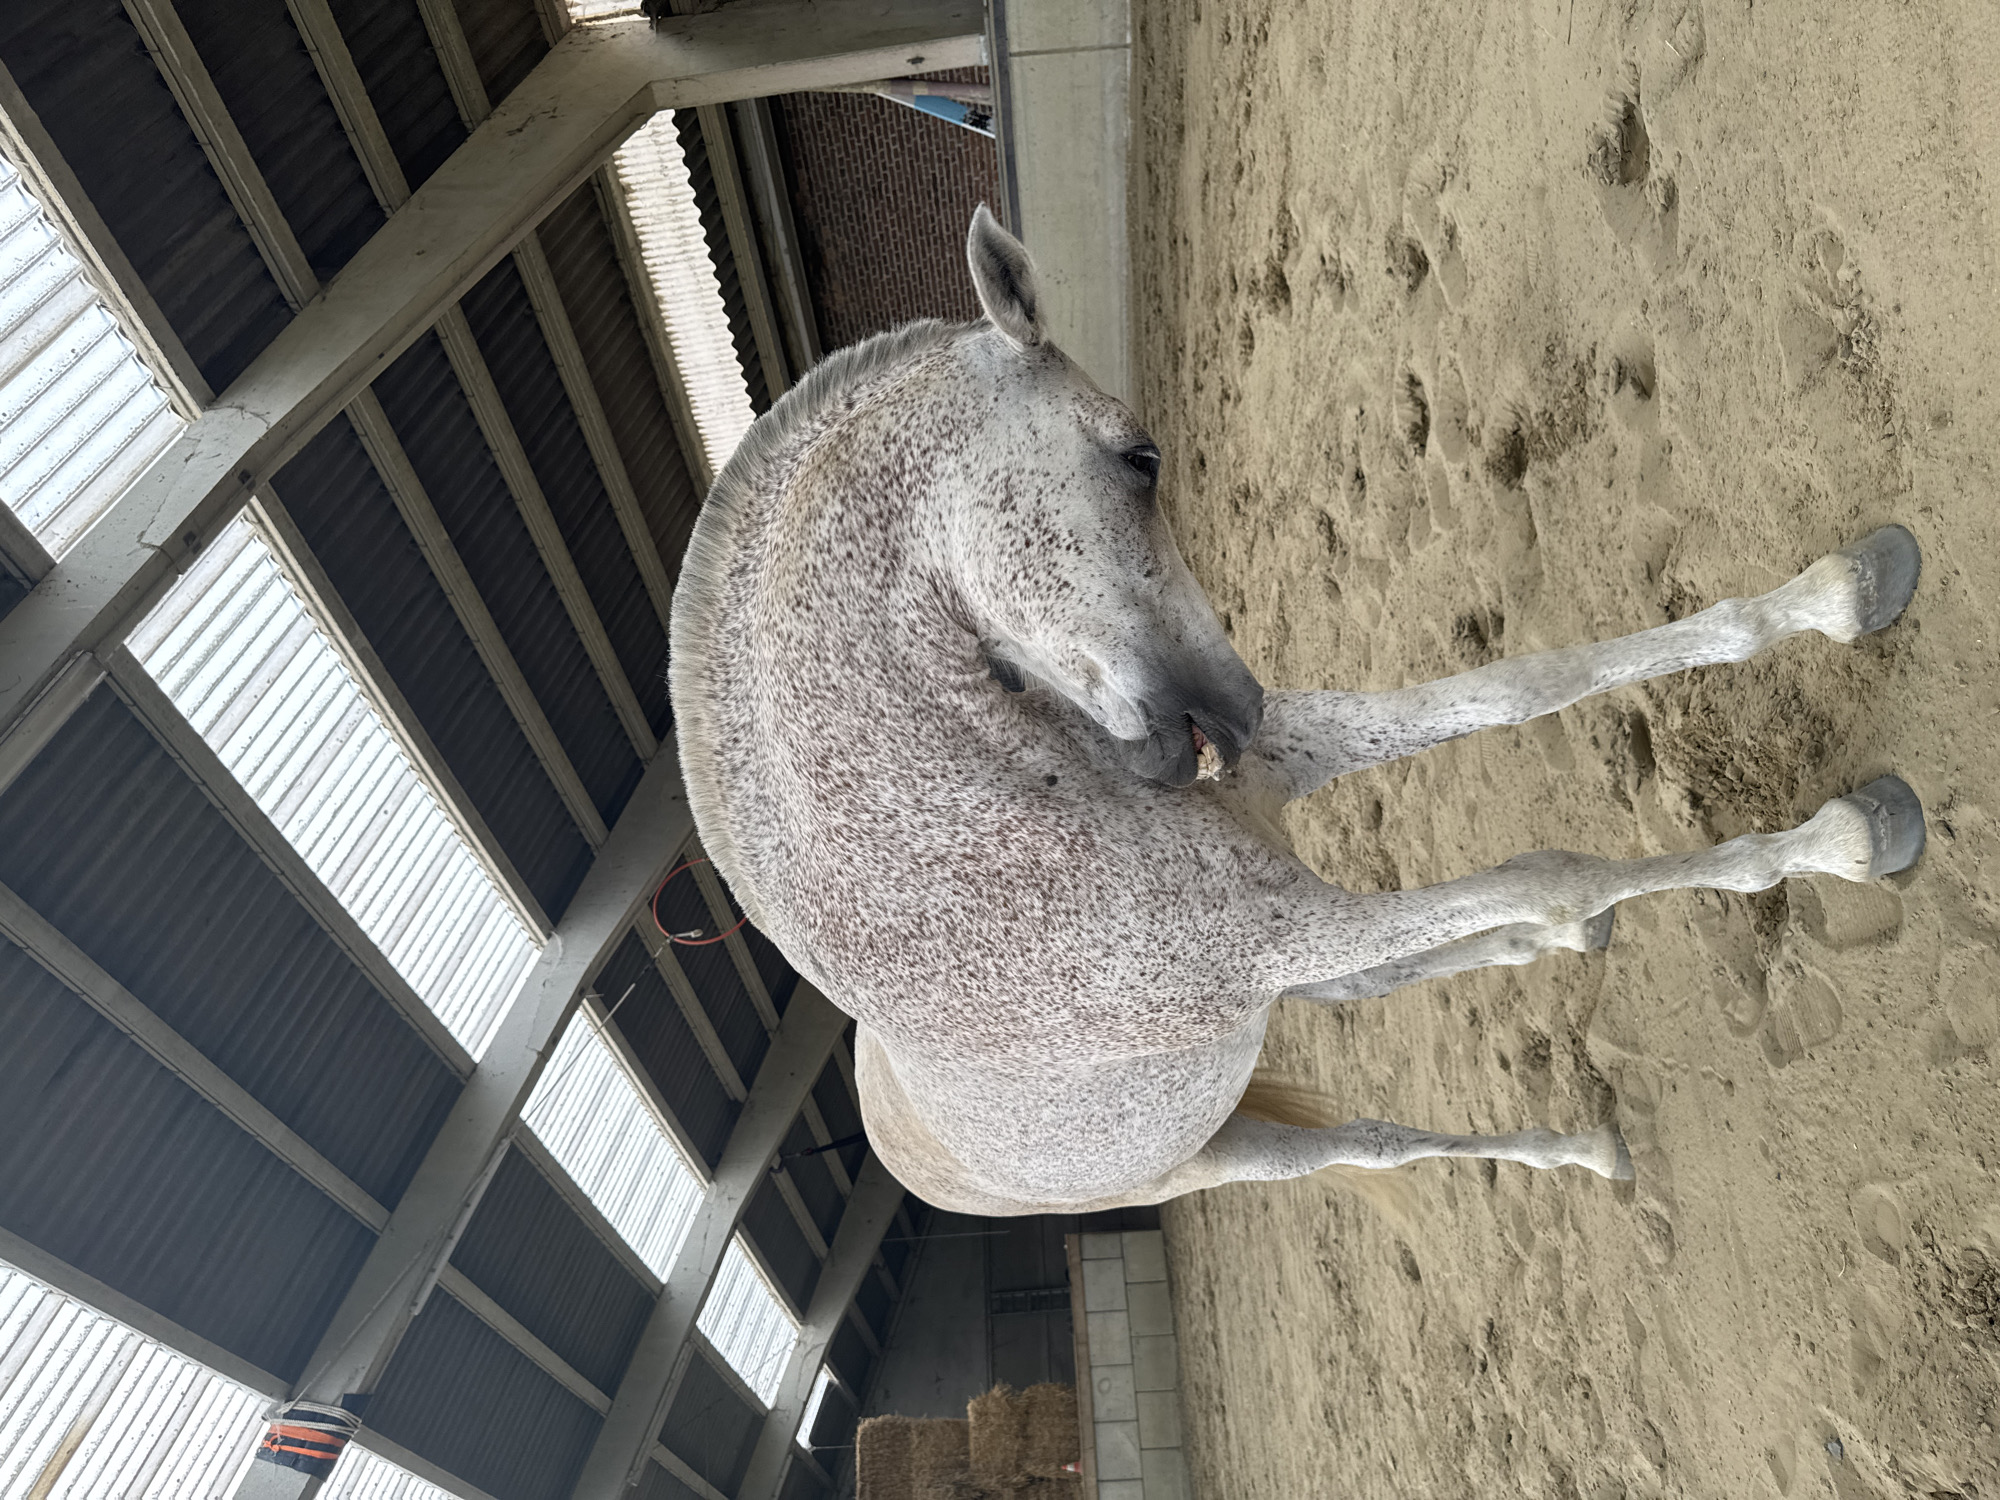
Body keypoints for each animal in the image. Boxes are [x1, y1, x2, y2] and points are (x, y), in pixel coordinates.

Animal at [666, 206, 1924, 1216]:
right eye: (1139, 457)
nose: (1231, 713)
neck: (968, 847)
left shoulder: (1291, 793)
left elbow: (1516, 686)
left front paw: (1847, 589)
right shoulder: (1282, 933)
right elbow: (1549, 869)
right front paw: (1849, 838)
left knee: (1409, 971)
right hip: (1232, 1140)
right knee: (1377, 1139)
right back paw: (1581, 1146)